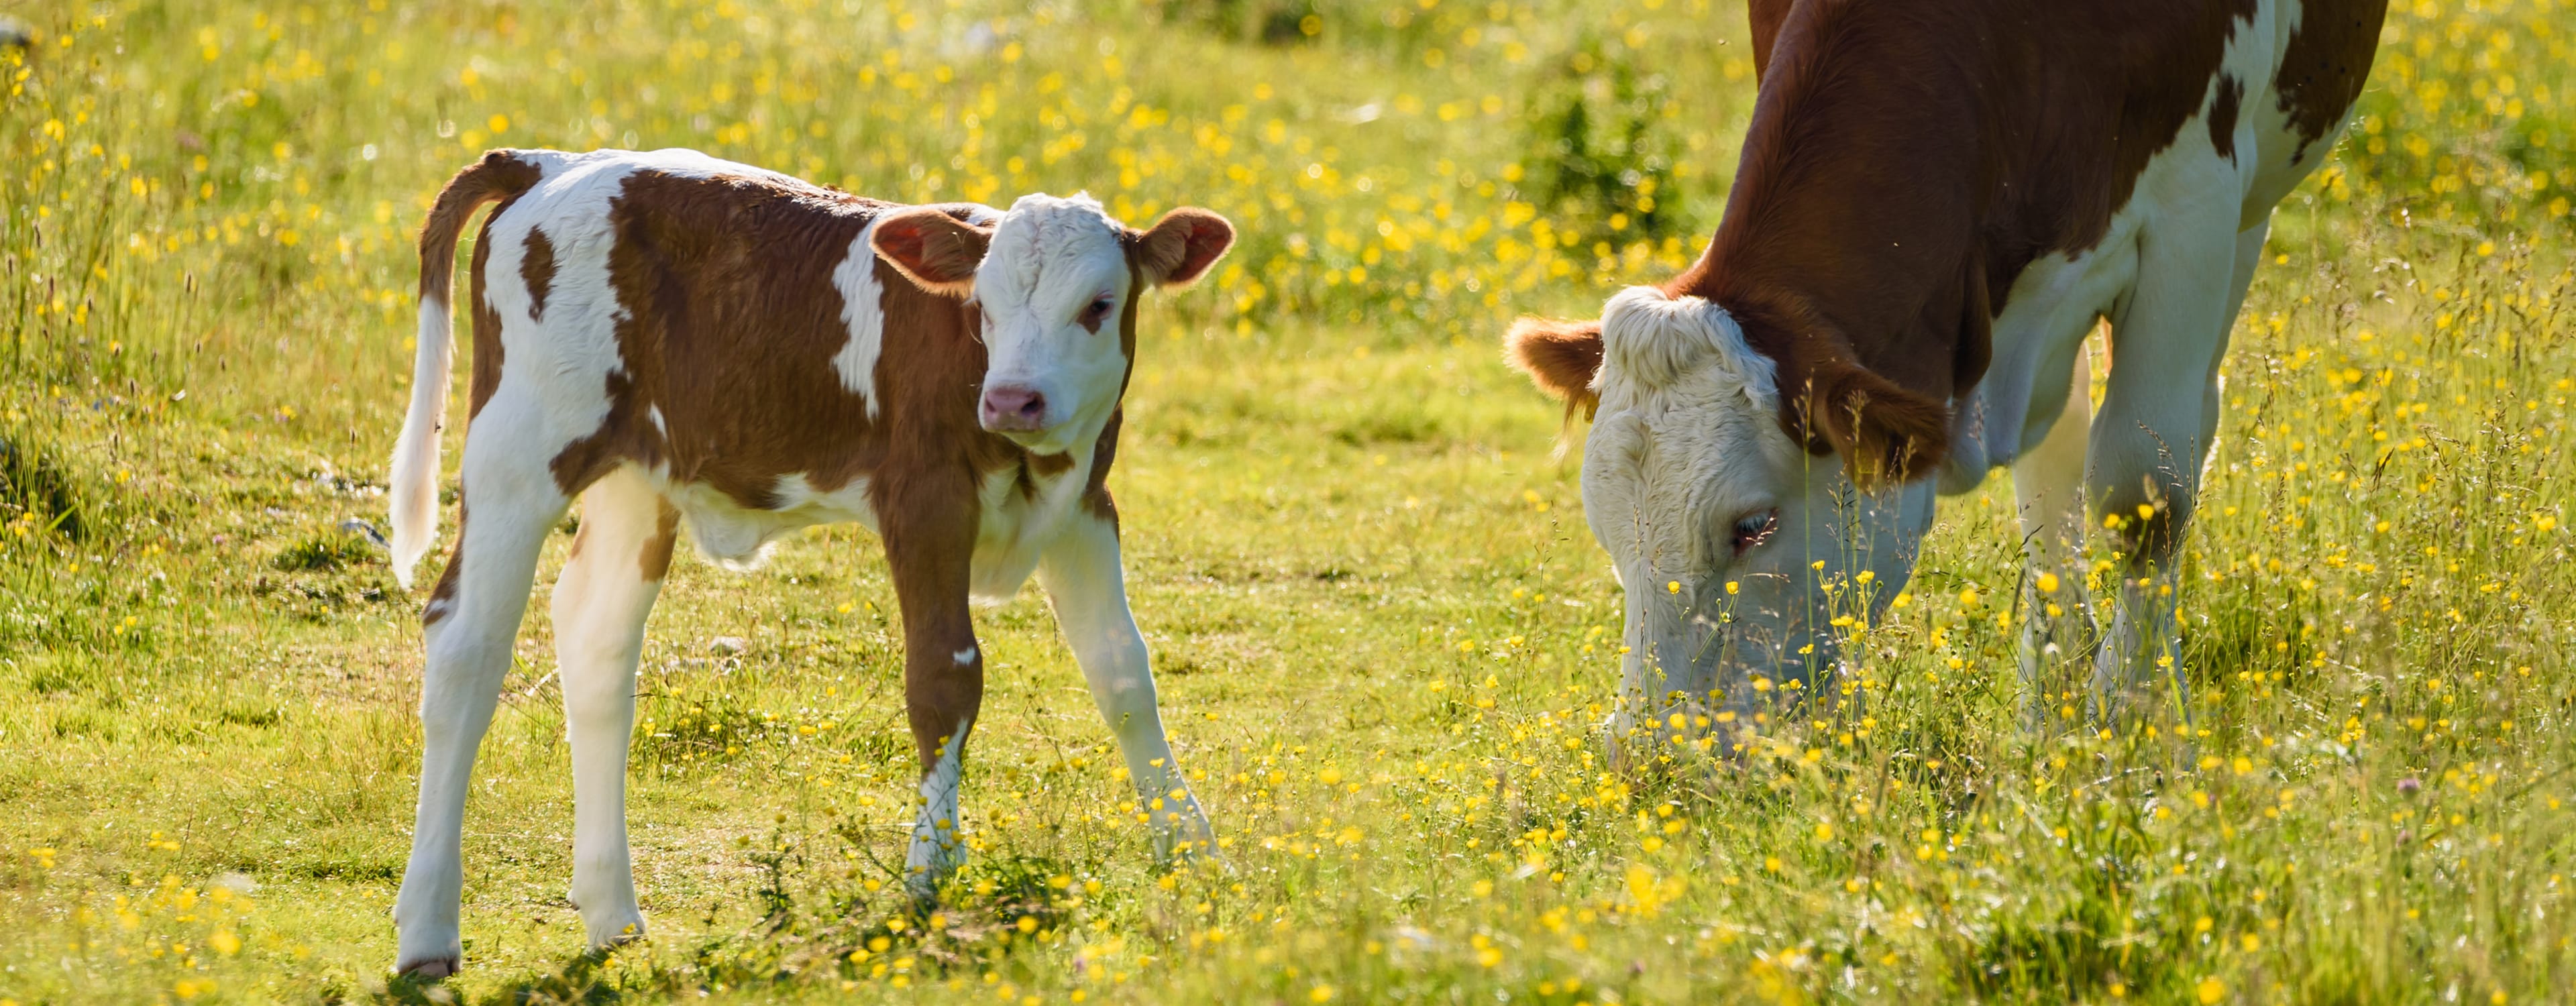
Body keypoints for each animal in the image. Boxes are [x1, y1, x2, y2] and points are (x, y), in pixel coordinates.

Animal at [381, 150, 1236, 977]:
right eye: (983, 308)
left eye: (1098, 306)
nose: (1012, 399)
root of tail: (550, 162)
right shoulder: (924, 502)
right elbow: (945, 678)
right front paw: (930, 876)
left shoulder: (1084, 504)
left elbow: (1123, 672)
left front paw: (1195, 855)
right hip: (519, 452)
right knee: (466, 646)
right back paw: (428, 931)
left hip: (639, 479)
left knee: (597, 645)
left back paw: (612, 913)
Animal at [1504, 1, 2380, 746]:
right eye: (1605, 528)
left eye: (1752, 526)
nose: (1647, 754)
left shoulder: (2195, 203)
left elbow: (2147, 489)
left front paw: (2133, 720)